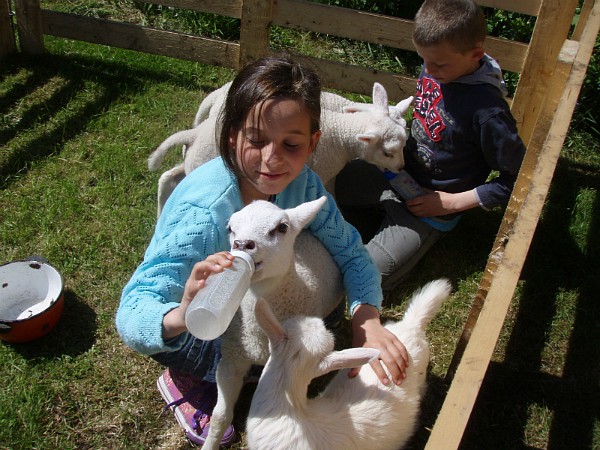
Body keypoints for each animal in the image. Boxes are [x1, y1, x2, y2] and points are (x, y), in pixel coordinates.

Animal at [148, 84, 414, 218]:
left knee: (168, 177)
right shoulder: (321, 170)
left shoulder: (330, 175)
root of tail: (195, 133)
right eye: (388, 152)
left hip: (194, 161)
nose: (402, 167)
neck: (340, 131)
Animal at [200, 197, 342, 450]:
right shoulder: (230, 360)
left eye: (282, 227)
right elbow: (220, 417)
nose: (243, 244)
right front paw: (210, 444)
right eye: (231, 228)